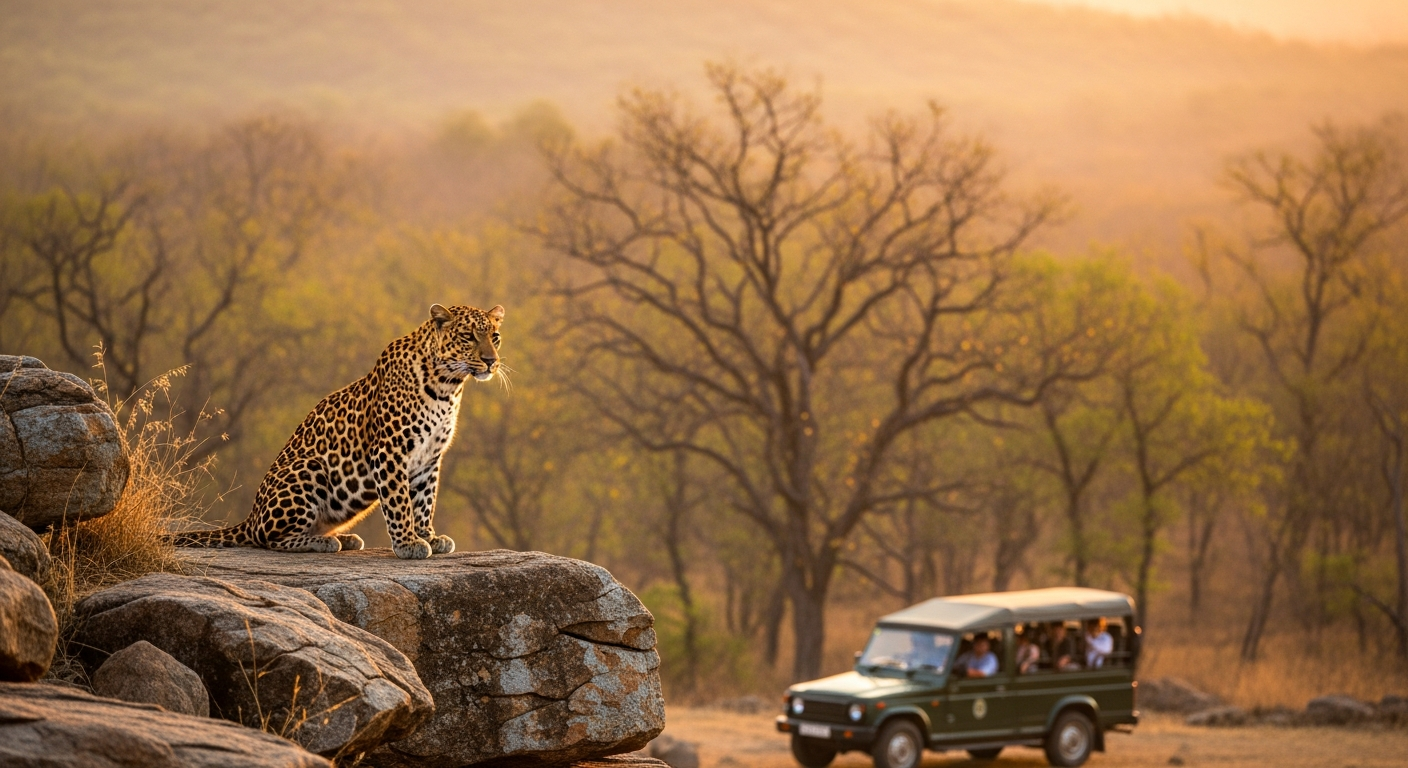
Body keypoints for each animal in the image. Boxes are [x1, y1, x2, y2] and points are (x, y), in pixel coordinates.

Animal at [174, 303, 503, 559]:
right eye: (468, 337)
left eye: (495, 338)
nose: (491, 361)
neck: (448, 386)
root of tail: (251, 517)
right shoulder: (390, 450)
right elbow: (399, 502)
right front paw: (408, 543)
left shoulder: (430, 457)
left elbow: (425, 500)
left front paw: (429, 536)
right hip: (309, 468)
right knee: (268, 539)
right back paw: (324, 542)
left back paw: (343, 538)